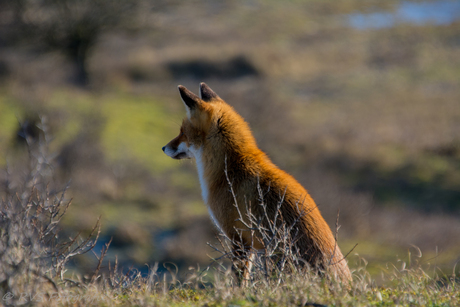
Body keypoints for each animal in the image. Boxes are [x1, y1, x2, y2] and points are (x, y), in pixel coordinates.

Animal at [162, 83, 352, 286]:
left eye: (182, 132)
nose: (163, 148)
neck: (230, 167)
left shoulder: (239, 237)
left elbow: (240, 280)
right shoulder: (249, 243)